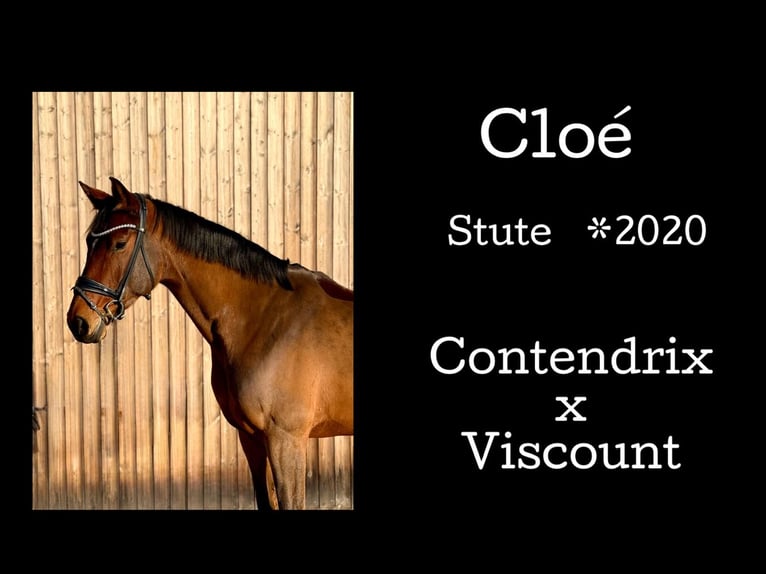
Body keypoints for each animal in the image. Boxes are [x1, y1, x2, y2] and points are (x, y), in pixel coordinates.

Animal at [66, 177, 353, 510]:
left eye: (119, 243)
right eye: (89, 242)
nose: (78, 321)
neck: (265, 319)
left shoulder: (287, 441)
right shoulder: (252, 438)